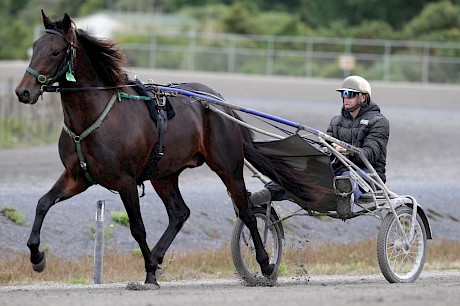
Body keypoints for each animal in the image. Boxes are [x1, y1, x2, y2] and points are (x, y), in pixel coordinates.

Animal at [15, 10, 324, 286]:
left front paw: (150, 273)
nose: (23, 92)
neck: (95, 116)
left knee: (246, 210)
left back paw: (265, 264)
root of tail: (219, 102)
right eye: (34, 47)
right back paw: (158, 256)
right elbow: (43, 203)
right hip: (164, 174)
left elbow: (138, 228)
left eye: (55, 51)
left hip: (228, 166)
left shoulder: (125, 180)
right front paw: (37, 257)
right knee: (180, 213)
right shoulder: (77, 177)